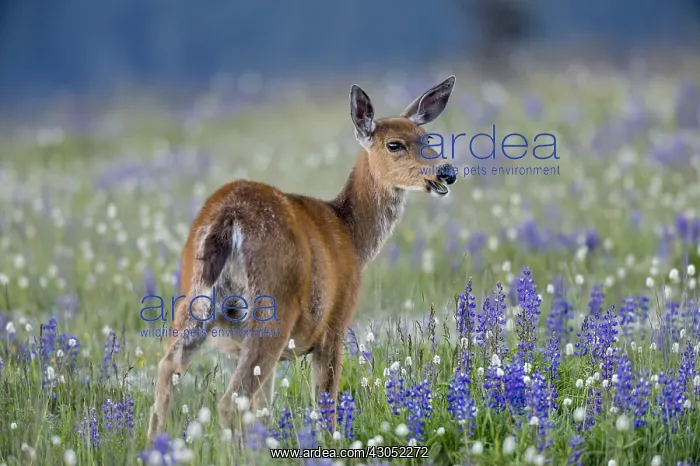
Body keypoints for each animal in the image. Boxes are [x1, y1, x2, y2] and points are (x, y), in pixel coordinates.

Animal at [148, 76, 458, 441]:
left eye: (427, 138)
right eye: (394, 144)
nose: (447, 171)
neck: (351, 236)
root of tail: (229, 215)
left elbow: (265, 410)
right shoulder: (335, 323)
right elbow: (325, 406)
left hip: (194, 300)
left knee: (169, 370)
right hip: (273, 305)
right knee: (230, 401)